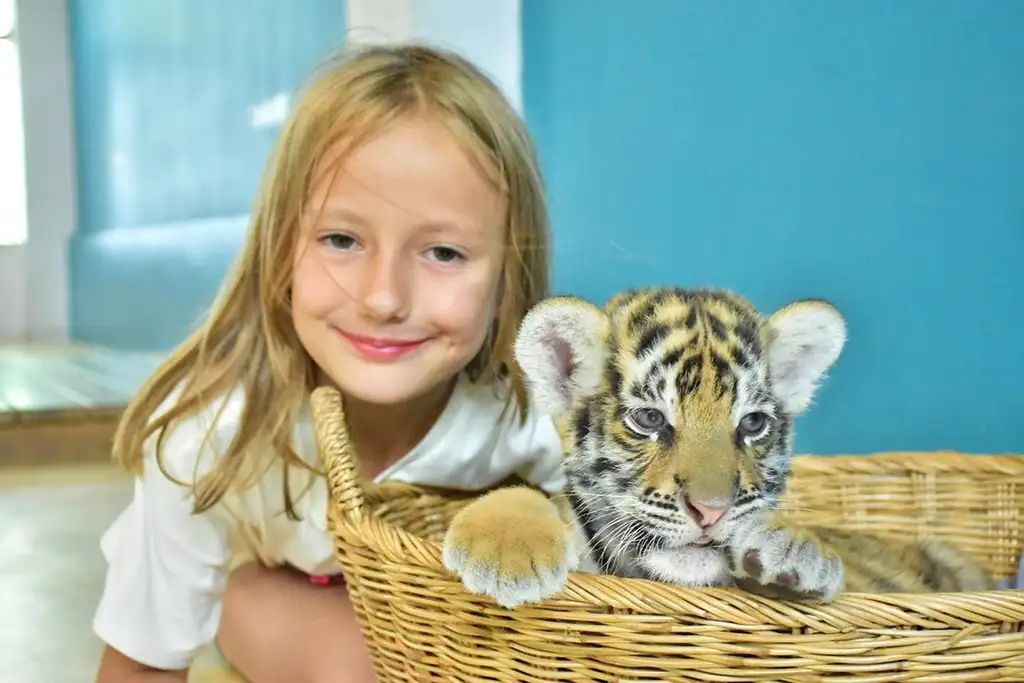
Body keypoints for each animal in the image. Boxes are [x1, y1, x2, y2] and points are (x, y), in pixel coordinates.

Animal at [441, 287, 995, 608]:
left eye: (752, 424)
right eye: (649, 419)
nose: (711, 511)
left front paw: (795, 551)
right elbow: (534, 496)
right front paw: (506, 550)